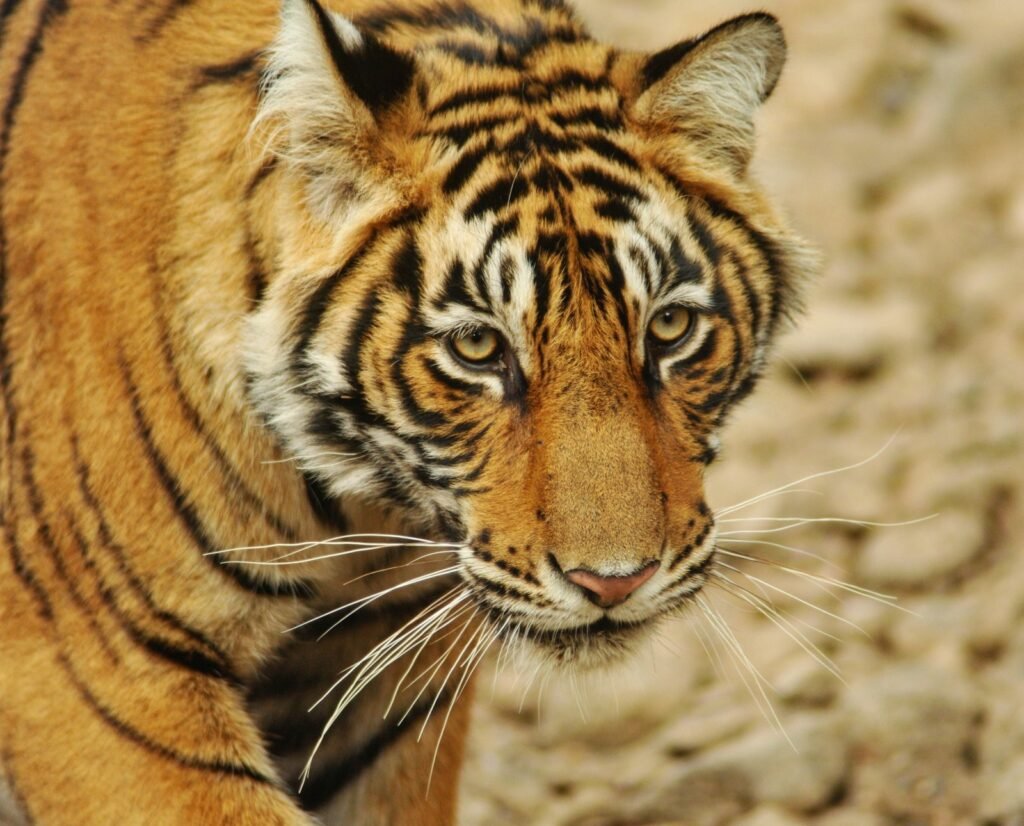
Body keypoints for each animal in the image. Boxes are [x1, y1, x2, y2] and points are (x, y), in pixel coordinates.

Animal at [0, 0, 814, 823]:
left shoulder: (389, 676)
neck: (354, 510)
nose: (614, 584)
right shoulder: (102, 669)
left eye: (670, 327)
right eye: (478, 346)